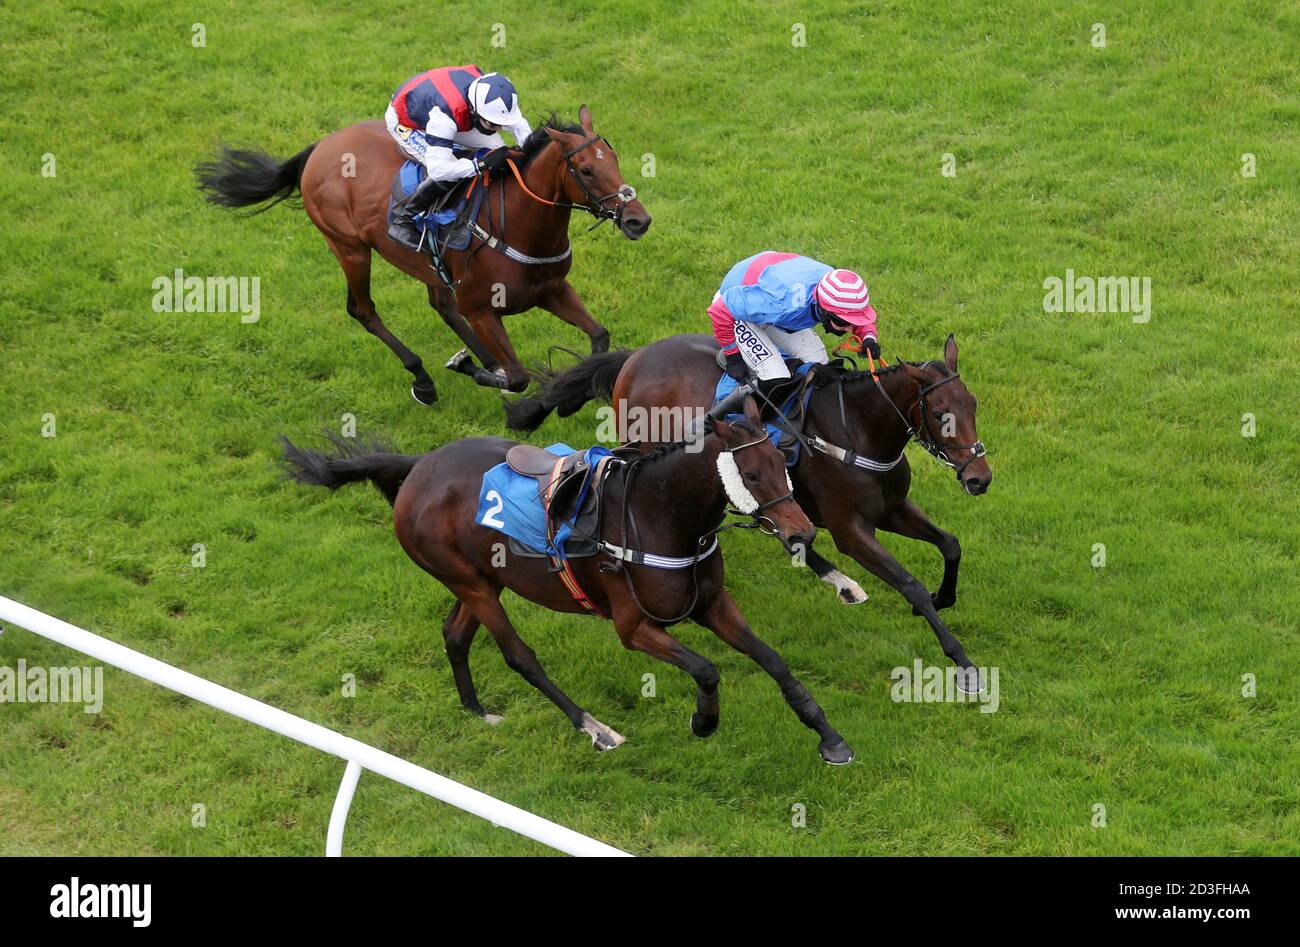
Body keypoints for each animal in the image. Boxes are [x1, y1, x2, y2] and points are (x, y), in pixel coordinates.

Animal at [193, 107, 650, 403]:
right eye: (586, 170)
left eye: (614, 159)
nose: (638, 220)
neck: (519, 226)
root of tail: (320, 146)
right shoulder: (482, 309)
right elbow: (519, 377)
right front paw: (472, 369)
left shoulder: (552, 290)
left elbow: (598, 336)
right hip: (350, 248)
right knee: (364, 310)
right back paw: (424, 379)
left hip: (427, 264)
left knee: (441, 304)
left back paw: (484, 360)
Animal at [279, 390, 857, 759]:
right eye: (752, 474)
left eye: (783, 460)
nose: (803, 533)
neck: (662, 516)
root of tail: (417, 467)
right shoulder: (633, 627)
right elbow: (707, 669)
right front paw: (704, 720)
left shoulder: (713, 604)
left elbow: (774, 662)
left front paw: (830, 738)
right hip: (473, 585)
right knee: (519, 656)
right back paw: (595, 729)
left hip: (480, 580)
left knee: (454, 633)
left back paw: (476, 710)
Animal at [506, 335, 993, 692]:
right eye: (941, 413)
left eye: (972, 404)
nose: (980, 478)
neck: (857, 429)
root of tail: (635, 357)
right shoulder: (850, 529)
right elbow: (909, 584)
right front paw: (963, 663)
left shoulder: (892, 508)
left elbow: (950, 544)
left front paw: (944, 596)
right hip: (650, 453)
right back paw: (839, 579)